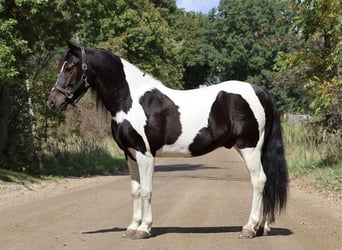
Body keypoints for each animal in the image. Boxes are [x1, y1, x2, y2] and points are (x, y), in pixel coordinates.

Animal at [48, 43, 288, 240]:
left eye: (70, 67)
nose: (52, 101)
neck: (130, 100)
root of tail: (260, 92)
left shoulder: (145, 153)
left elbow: (146, 190)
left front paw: (144, 229)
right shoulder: (130, 154)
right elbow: (135, 190)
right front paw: (132, 227)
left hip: (250, 148)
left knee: (259, 181)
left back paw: (249, 228)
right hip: (253, 149)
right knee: (265, 182)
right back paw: (262, 227)